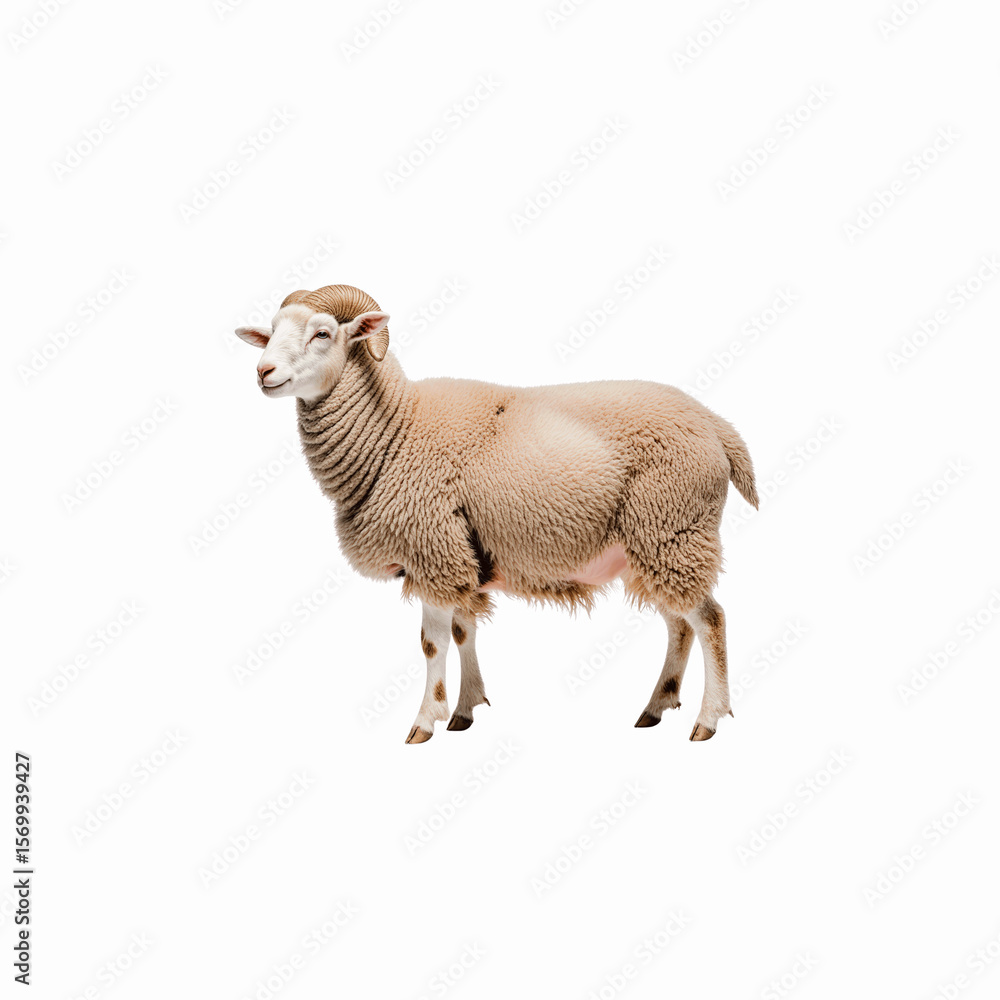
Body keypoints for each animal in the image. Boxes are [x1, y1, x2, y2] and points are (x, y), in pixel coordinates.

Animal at [235, 284, 759, 743]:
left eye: (322, 333)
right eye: (272, 330)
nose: (263, 372)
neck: (395, 429)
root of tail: (715, 425)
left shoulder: (434, 550)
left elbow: (432, 643)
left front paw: (424, 723)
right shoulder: (461, 555)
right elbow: (464, 631)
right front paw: (464, 711)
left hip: (673, 529)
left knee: (709, 620)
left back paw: (707, 721)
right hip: (651, 544)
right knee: (678, 624)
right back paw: (655, 707)